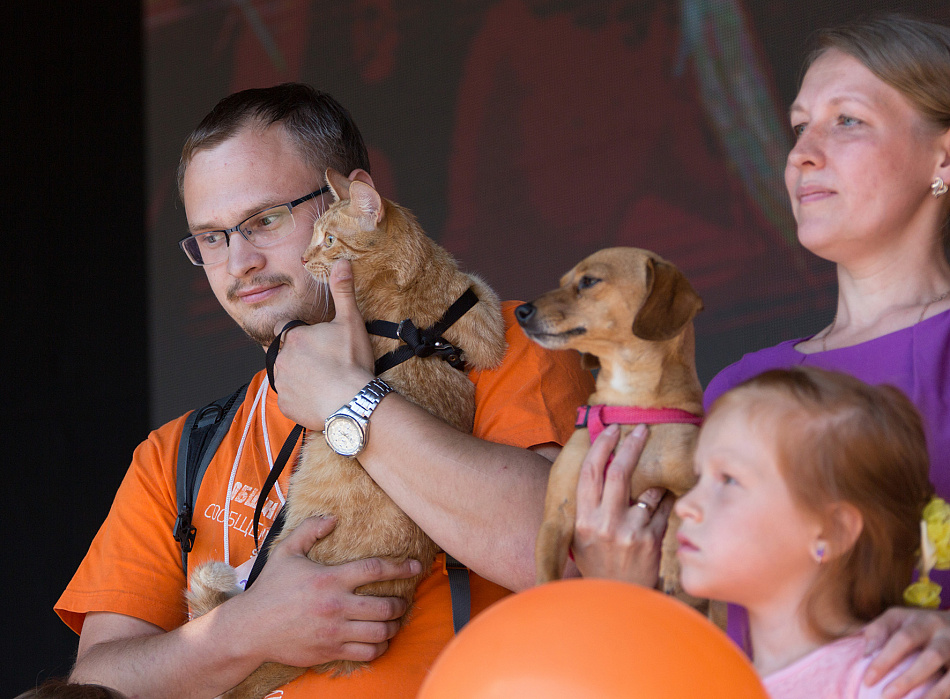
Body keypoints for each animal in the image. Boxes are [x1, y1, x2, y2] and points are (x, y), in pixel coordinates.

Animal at [516, 246, 704, 592]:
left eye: (589, 281)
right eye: (562, 282)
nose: (521, 311)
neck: (629, 403)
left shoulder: (698, 485)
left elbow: (681, 510)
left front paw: (673, 563)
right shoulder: (556, 517)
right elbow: (547, 572)